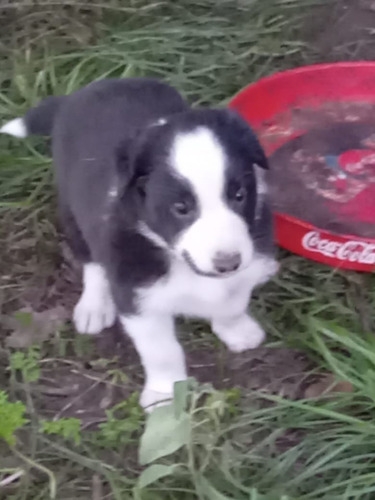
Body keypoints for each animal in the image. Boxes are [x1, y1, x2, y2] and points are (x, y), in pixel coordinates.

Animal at [0, 77, 280, 406]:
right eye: (181, 208)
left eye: (239, 195)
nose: (228, 263)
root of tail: (81, 93)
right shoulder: (138, 295)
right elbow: (162, 351)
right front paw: (164, 395)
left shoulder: (247, 266)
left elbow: (232, 303)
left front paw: (238, 332)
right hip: (71, 210)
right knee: (92, 262)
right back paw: (94, 307)